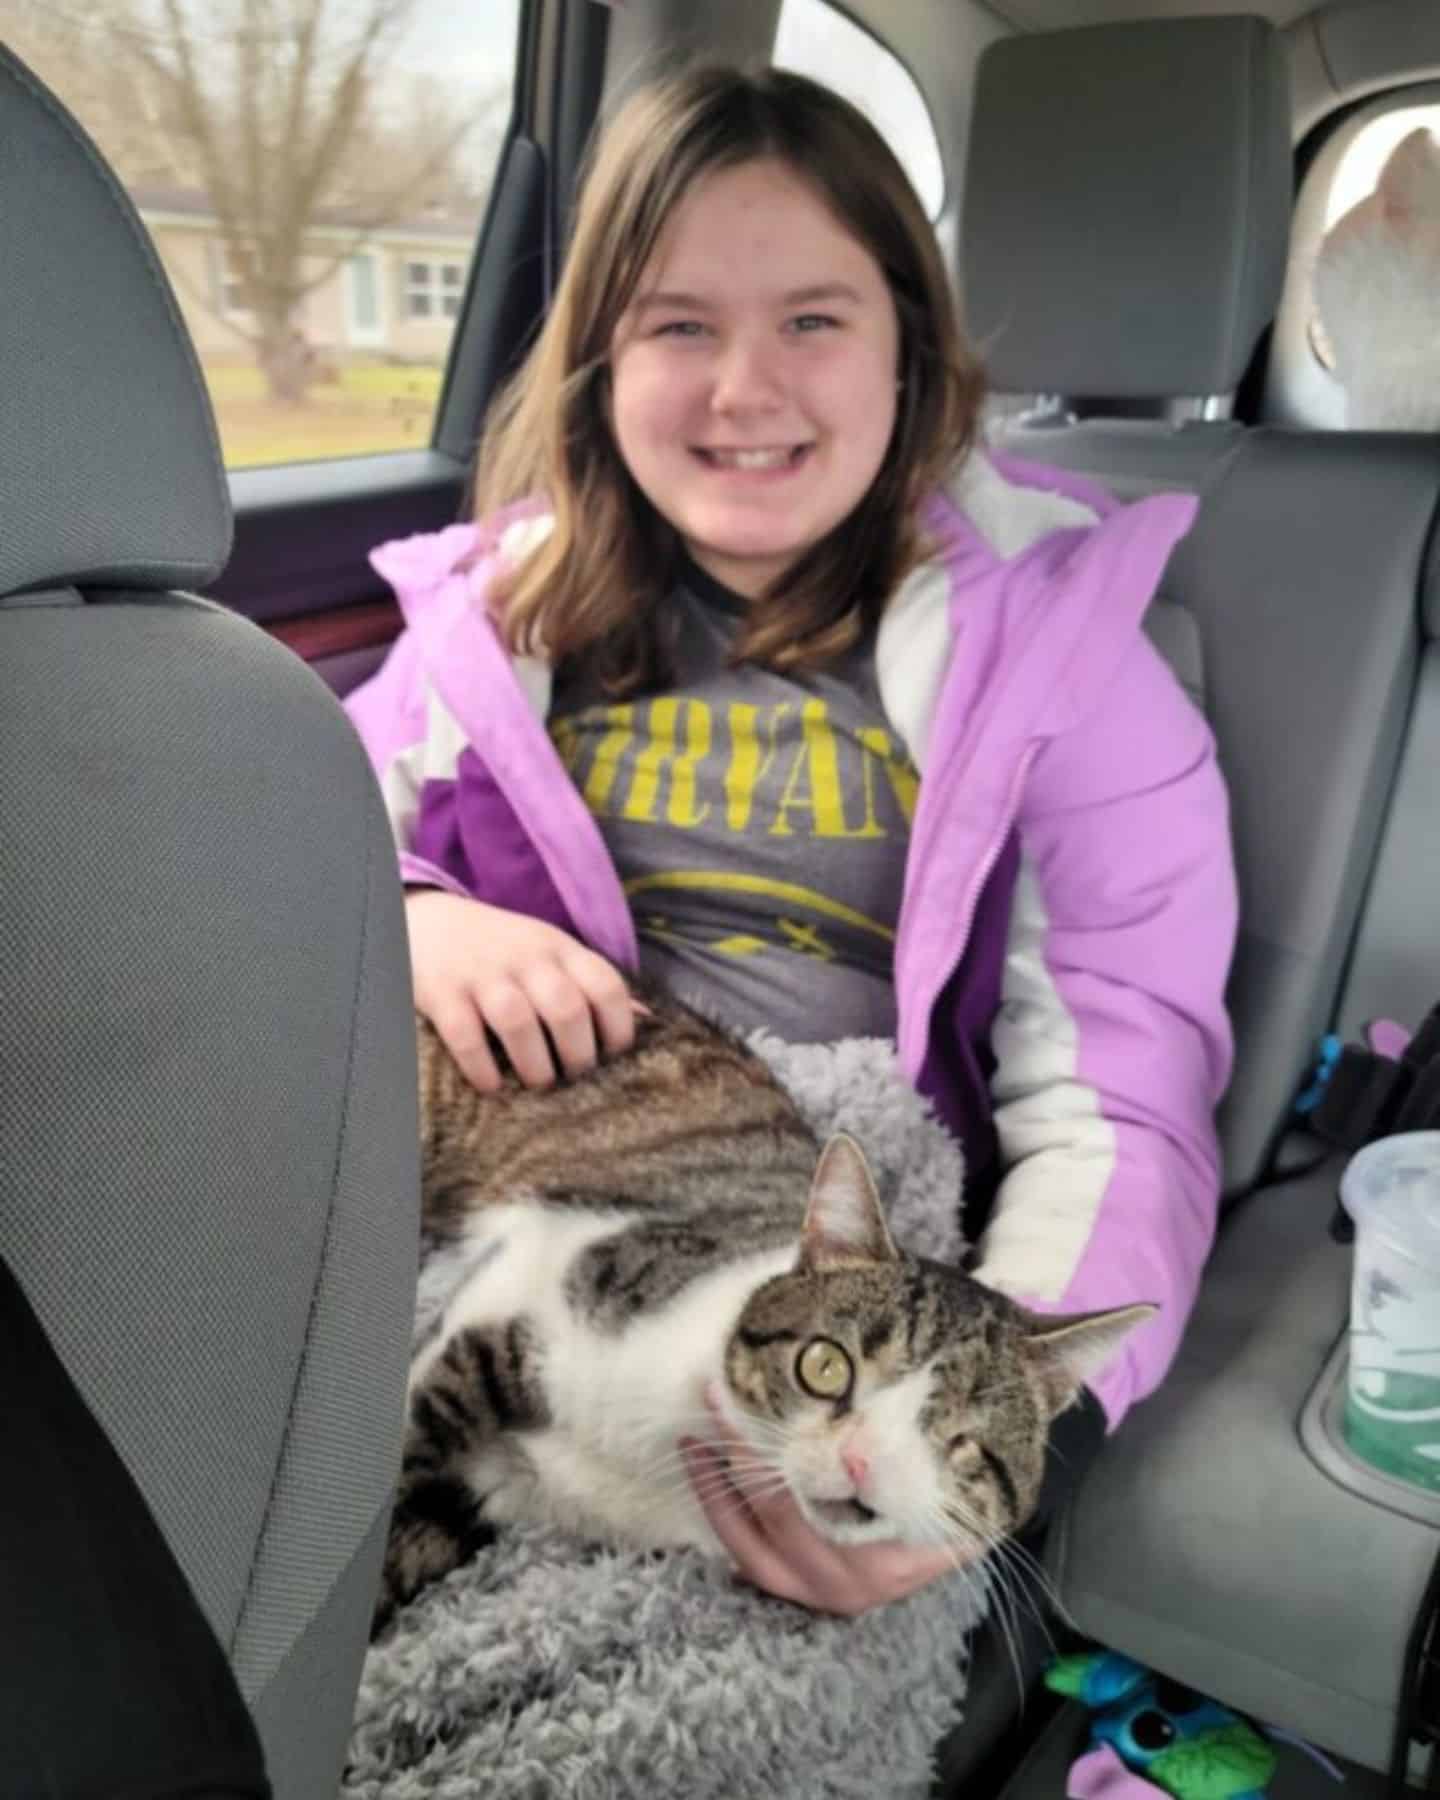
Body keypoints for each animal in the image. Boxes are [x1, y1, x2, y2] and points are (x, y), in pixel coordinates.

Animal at [376, 993, 1152, 1641]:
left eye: (961, 1440)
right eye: (825, 1365)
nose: (861, 1460)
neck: (665, 1463)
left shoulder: (491, 1493)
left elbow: (416, 1535)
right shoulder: (539, 1265)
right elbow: (423, 1422)